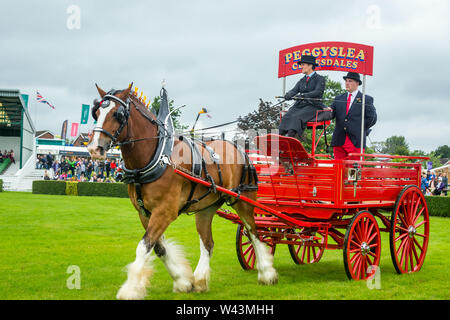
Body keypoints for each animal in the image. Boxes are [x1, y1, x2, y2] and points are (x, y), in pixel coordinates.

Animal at [87, 84, 278, 300]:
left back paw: (266, 273)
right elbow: (158, 248)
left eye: (117, 114)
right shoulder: (145, 213)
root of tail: (241, 151)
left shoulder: (164, 211)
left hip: (243, 201)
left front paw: (130, 289)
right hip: (206, 208)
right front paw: (182, 281)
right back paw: (200, 280)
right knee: (208, 243)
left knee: (254, 233)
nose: (94, 149)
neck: (157, 156)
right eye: (96, 113)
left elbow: (143, 247)